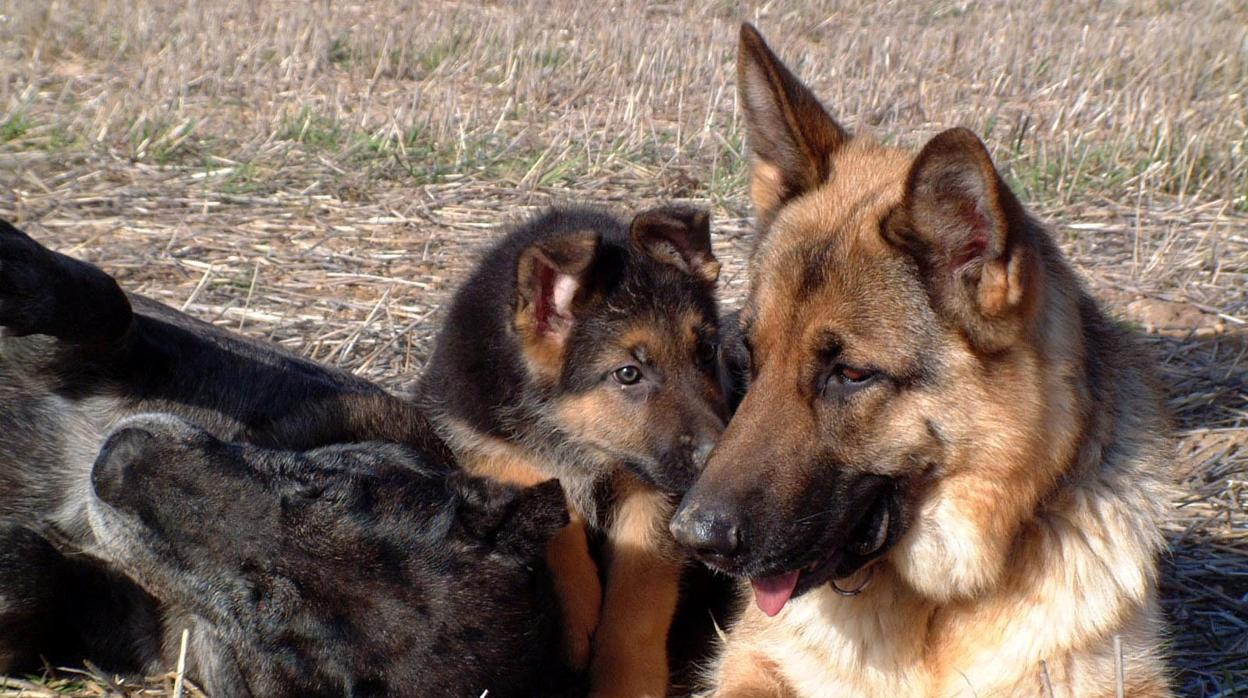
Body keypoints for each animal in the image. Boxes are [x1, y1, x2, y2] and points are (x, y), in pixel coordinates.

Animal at [419, 204, 728, 694]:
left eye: (707, 352)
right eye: (628, 374)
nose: (721, 466)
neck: (582, 443)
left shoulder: (651, 496)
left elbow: (640, 599)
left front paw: (628, 683)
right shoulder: (482, 442)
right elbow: (543, 487)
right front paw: (580, 611)